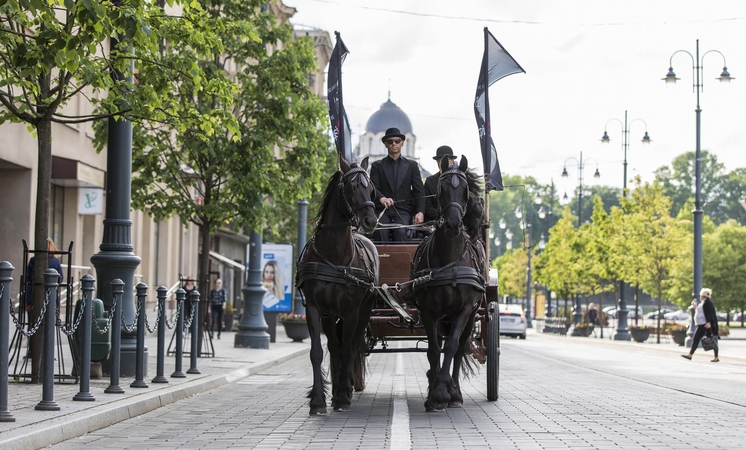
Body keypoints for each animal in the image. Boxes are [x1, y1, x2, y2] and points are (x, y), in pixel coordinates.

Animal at [294, 155, 378, 414]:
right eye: (351, 186)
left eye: (371, 188)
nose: (370, 221)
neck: (335, 256)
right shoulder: (314, 309)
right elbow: (317, 352)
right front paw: (318, 400)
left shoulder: (352, 312)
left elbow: (348, 349)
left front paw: (342, 396)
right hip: (331, 316)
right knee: (333, 345)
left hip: (364, 311)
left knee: (352, 345)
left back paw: (346, 388)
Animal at [410, 155, 486, 412]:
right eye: (441, 188)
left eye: (465, 189)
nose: (453, 224)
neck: (449, 261)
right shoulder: (428, 311)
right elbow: (434, 350)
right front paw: (434, 393)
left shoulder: (465, 310)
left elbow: (452, 347)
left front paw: (444, 393)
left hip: (471, 316)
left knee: (460, 349)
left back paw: (455, 392)